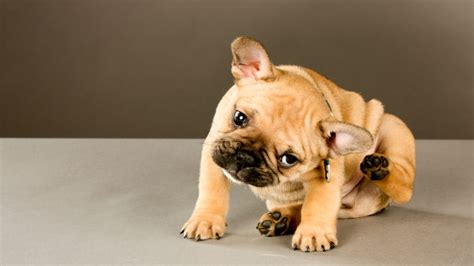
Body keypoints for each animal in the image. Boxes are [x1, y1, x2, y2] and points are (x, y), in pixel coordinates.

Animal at [181, 37, 414, 251]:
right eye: (239, 117)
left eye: (288, 159)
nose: (245, 157)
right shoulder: (214, 146)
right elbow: (212, 190)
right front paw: (205, 220)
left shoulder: (326, 174)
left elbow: (317, 204)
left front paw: (314, 233)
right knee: (299, 207)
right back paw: (280, 220)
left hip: (394, 129)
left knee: (404, 188)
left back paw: (379, 168)